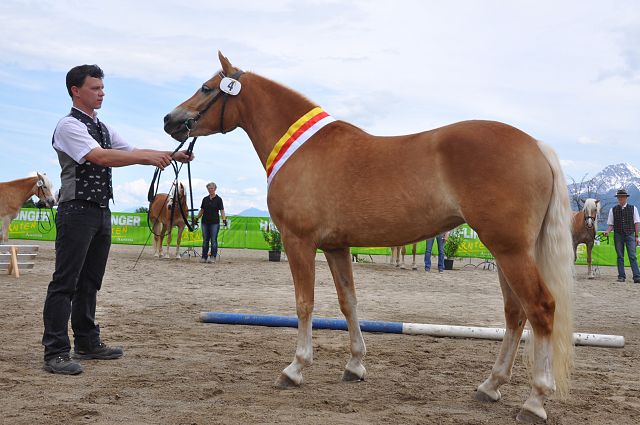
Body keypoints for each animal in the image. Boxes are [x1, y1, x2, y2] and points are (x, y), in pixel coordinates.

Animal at [164, 52, 576, 420]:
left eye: (206, 88)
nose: (170, 120)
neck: (304, 149)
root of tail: (536, 145)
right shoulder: (335, 246)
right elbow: (349, 302)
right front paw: (355, 365)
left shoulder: (299, 242)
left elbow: (304, 304)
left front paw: (296, 368)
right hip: (507, 251)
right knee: (515, 314)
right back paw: (490, 386)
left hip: (510, 250)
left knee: (540, 308)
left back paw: (535, 401)